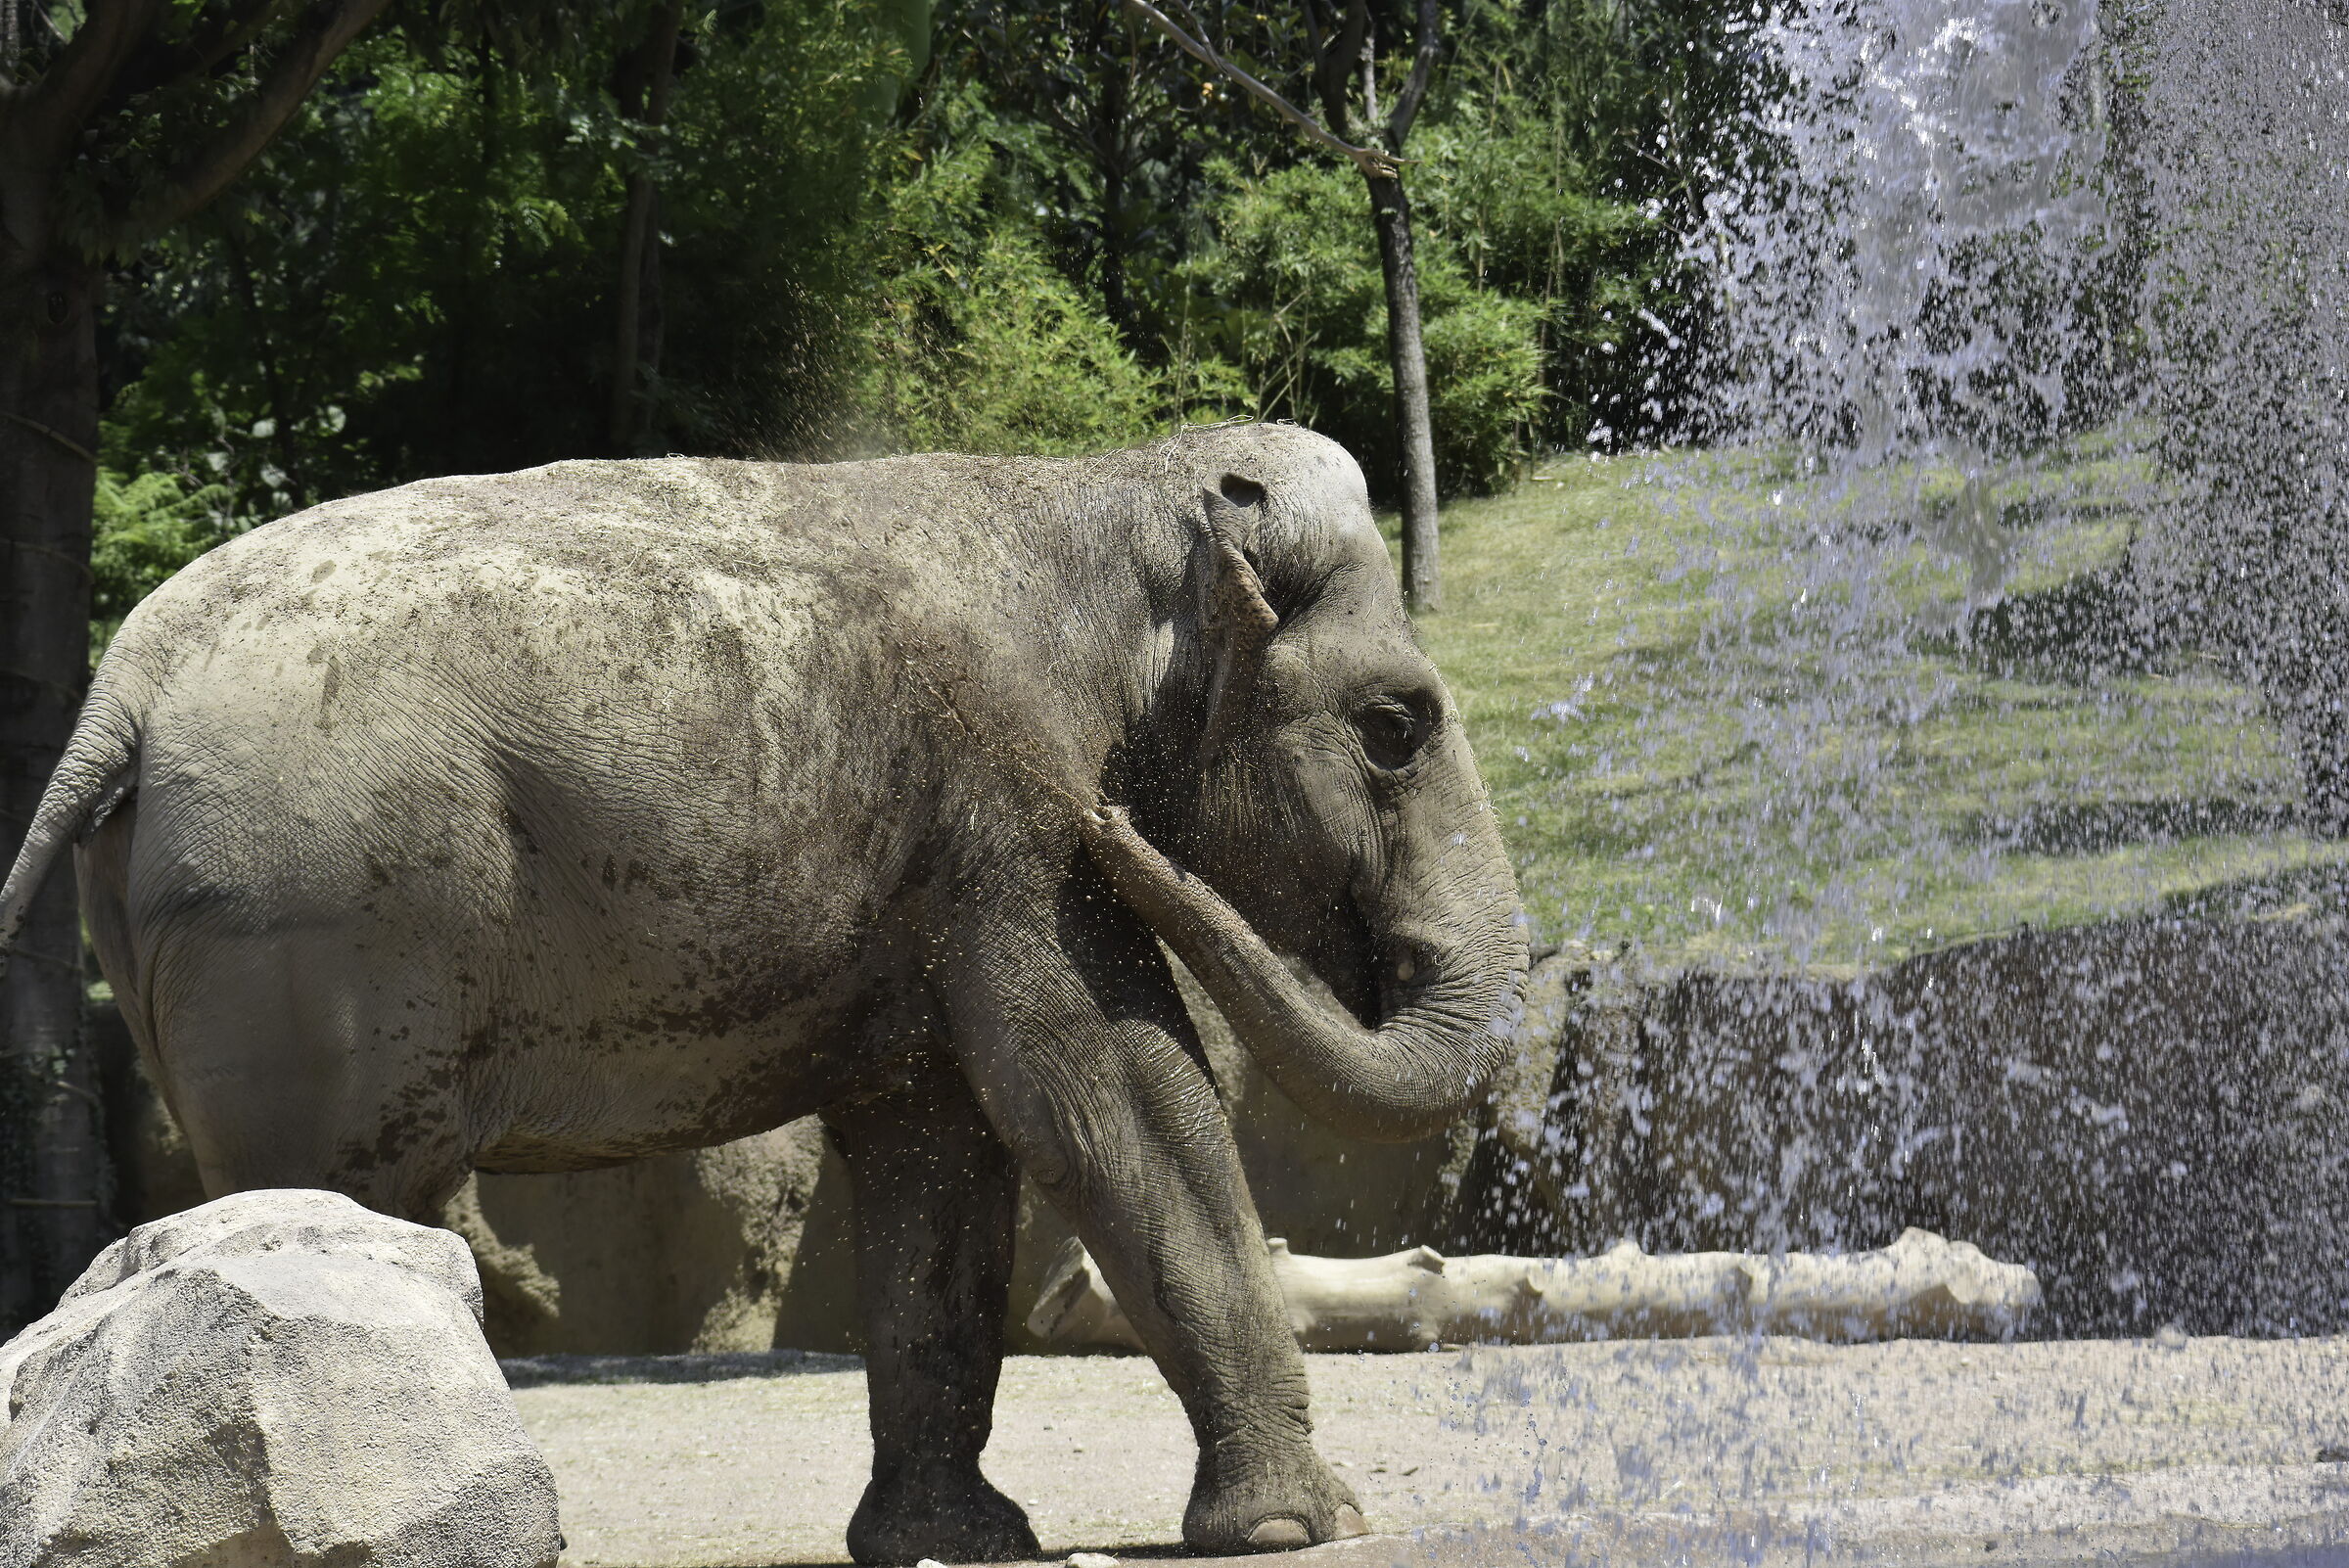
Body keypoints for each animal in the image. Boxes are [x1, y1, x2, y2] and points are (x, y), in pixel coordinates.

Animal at [0, 423, 1527, 1564]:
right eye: (1398, 727)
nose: (1116, 827)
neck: (1104, 491)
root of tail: (124, 681)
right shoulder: (1005, 820)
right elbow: (1114, 1097)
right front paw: (1304, 1527)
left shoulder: (944, 877)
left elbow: (941, 1150)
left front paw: (955, 1542)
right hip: (315, 929)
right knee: (348, 1193)